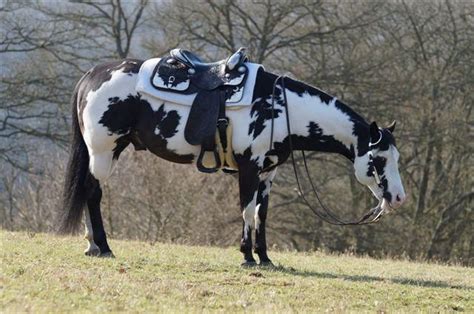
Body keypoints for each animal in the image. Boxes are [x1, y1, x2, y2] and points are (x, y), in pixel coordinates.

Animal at [60, 52, 408, 264]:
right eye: (378, 159)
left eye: (396, 157)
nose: (399, 198)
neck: (281, 106)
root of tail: (93, 75)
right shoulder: (249, 169)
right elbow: (247, 211)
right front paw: (247, 256)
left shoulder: (268, 173)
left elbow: (262, 214)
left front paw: (265, 257)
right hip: (104, 151)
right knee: (93, 193)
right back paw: (103, 246)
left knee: (90, 192)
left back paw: (92, 245)